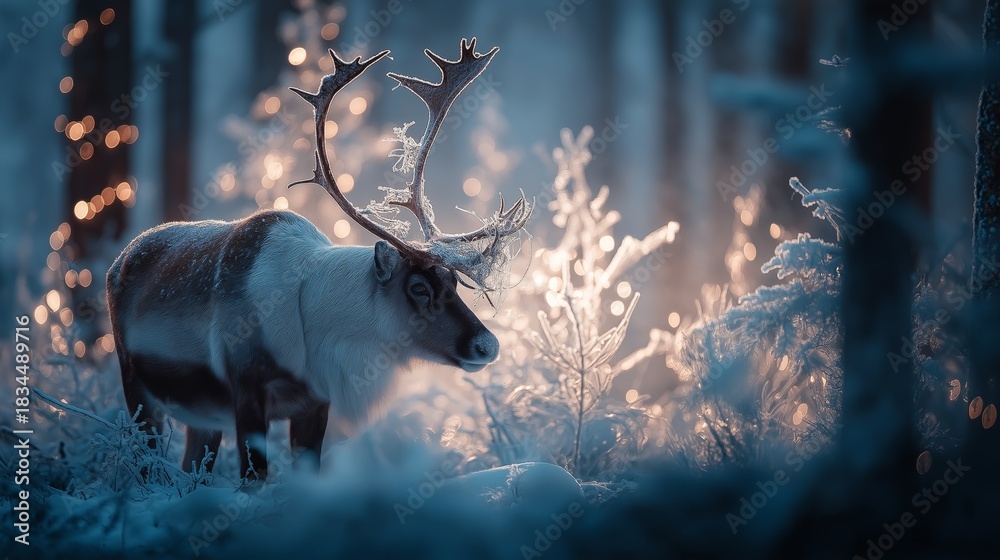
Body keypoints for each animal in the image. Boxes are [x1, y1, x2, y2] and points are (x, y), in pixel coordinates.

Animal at [106, 38, 530, 482]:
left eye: (452, 282)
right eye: (417, 287)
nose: (487, 344)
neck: (316, 330)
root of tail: (121, 257)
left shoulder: (315, 403)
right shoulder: (248, 390)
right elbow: (253, 478)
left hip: (201, 415)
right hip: (138, 388)